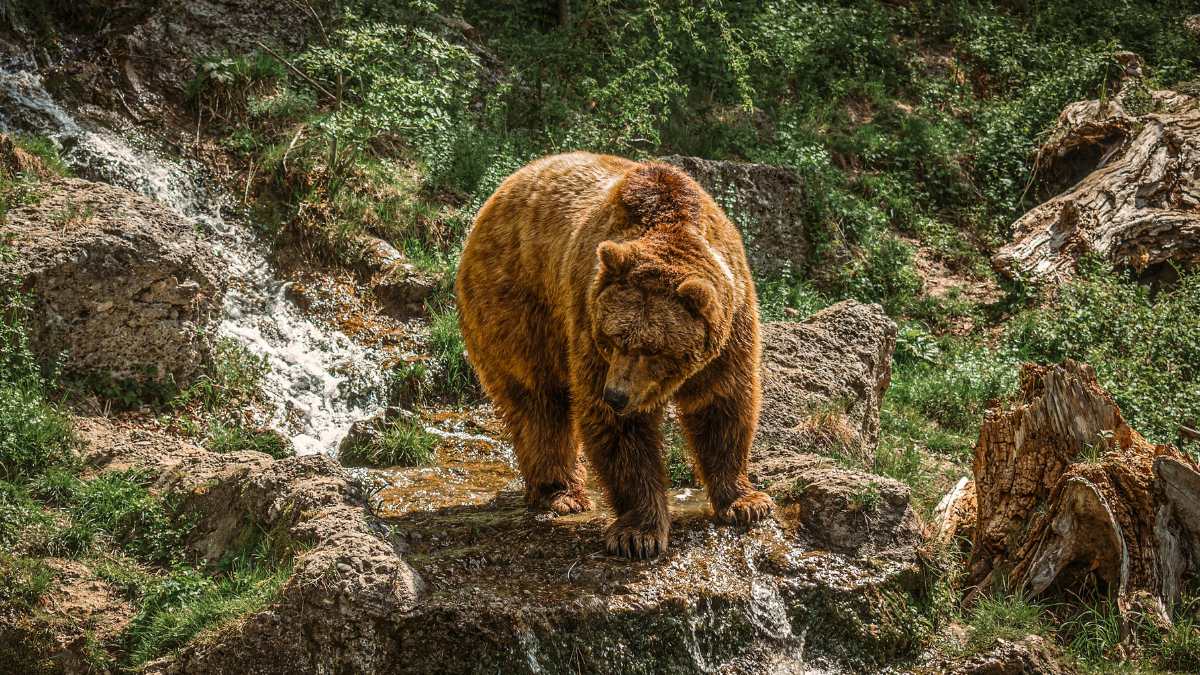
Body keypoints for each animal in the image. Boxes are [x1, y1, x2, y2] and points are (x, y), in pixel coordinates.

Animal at [455, 152, 774, 559]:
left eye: (654, 349)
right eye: (613, 339)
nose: (617, 395)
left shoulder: (731, 330)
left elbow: (722, 404)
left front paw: (745, 503)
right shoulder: (586, 317)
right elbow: (620, 433)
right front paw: (638, 533)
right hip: (518, 304)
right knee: (539, 401)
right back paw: (561, 492)